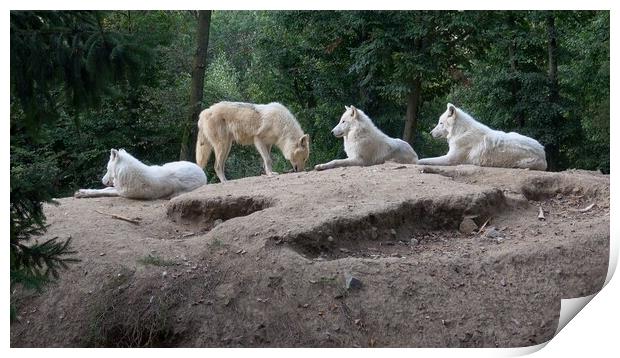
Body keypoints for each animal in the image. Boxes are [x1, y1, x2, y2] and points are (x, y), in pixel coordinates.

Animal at [75, 148, 206, 200]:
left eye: (107, 169)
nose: (102, 180)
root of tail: (202, 172)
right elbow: (104, 189)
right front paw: (84, 191)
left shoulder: (122, 192)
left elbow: (105, 191)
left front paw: (83, 193)